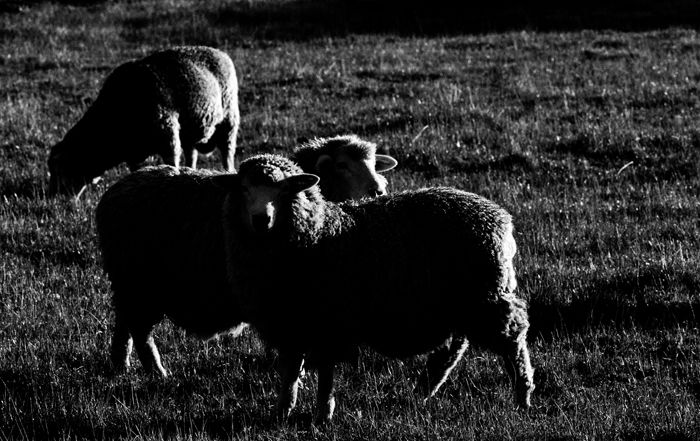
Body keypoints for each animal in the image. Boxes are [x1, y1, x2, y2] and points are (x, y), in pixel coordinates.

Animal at [48, 45, 241, 196]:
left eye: (61, 170)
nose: (53, 196)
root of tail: (219, 52)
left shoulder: (168, 137)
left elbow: (171, 164)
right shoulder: (133, 153)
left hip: (229, 121)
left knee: (227, 154)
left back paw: (226, 172)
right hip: (190, 131)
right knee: (192, 154)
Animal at [95, 136, 396, 376]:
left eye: (373, 164)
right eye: (343, 165)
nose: (378, 190)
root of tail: (113, 192)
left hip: (127, 281)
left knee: (124, 324)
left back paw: (121, 365)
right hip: (140, 281)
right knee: (140, 330)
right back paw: (157, 373)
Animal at [224, 154, 536, 422]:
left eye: (284, 189)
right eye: (244, 188)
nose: (261, 219)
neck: (320, 230)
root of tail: (501, 217)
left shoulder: (327, 320)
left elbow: (324, 372)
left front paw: (322, 414)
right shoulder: (292, 322)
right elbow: (290, 372)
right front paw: (282, 411)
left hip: (486, 294)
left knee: (512, 339)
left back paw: (522, 395)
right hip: (459, 300)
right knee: (454, 345)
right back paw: (425, 389)